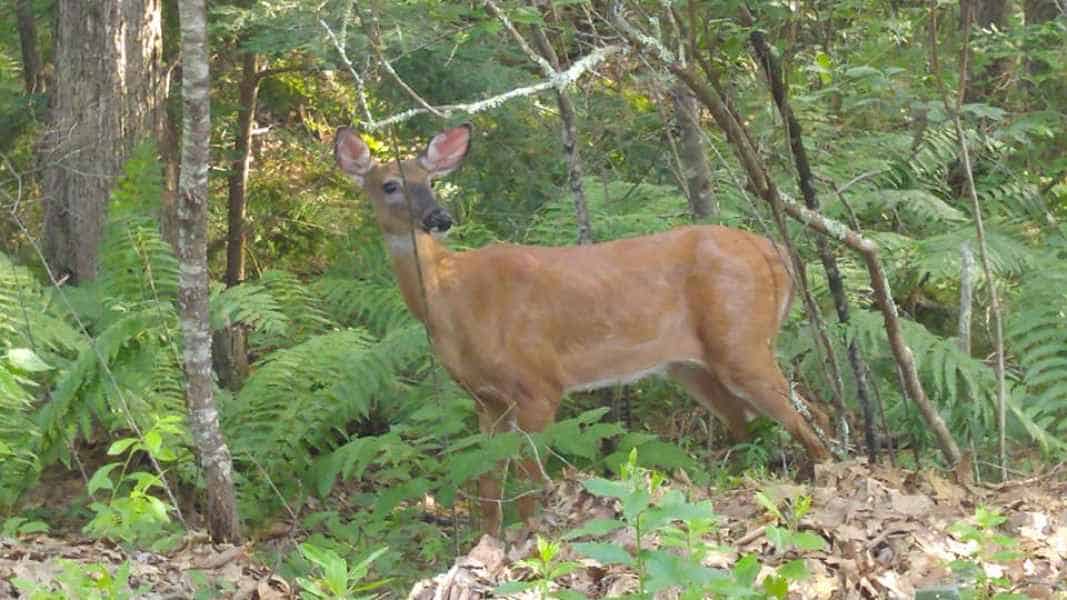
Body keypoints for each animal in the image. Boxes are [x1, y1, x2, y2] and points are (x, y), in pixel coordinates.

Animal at [335, 121, 832, 531]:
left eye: (432, 181)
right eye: (390, 185)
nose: (439, 218)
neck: (453, 298)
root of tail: (776, 253)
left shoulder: (538, 383)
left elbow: (529, 483)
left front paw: (529, 542)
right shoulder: (486, 399)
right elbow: (489, 484)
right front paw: (489, 543)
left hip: (741, 338)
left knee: (812, 419)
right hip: (691, 365)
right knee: (747, 422)